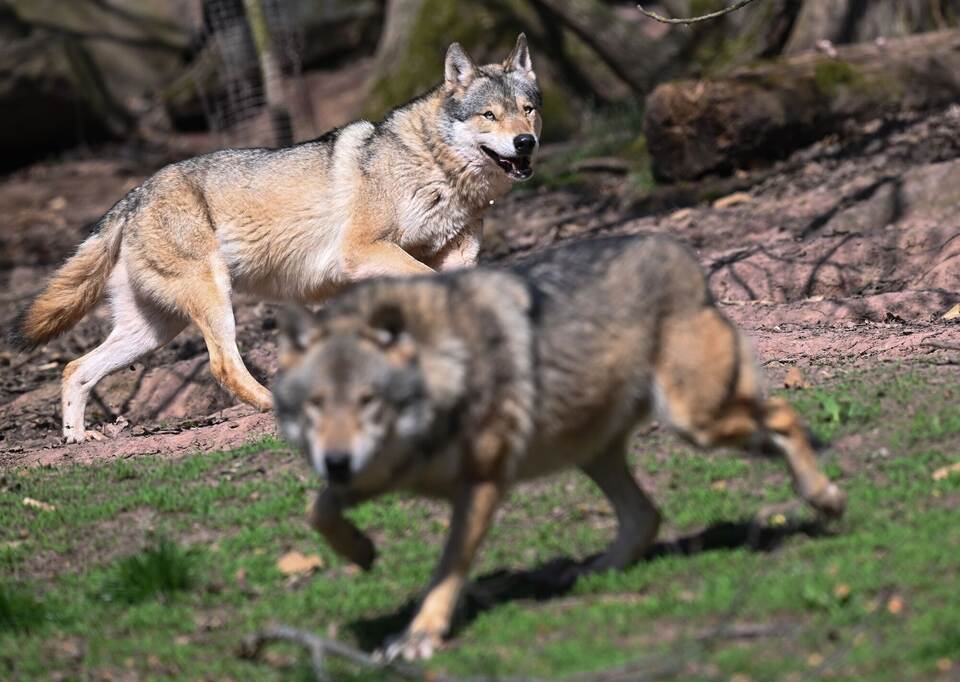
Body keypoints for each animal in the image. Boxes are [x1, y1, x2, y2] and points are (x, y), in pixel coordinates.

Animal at [10, 35, 541, 443]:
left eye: (528, 110)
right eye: (489, 115)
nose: (527, 142)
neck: (436, 169)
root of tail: (133, 195)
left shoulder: (454, 257)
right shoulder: (362, 253)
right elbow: (425, 286)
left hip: (151, 332)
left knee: (74, 368)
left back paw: (76, 439)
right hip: (213, 302)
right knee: (222, 366)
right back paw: (276, 407)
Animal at [272, 234, 847, 661]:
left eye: (368, 401)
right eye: (316, 405)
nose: (337, 461)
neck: (444, 369)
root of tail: (677, 250)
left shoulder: (481, 483)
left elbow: (447, 568)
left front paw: (419, 635)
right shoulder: (378, 473)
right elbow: (317, 510)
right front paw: (362, 551)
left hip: (696, 422)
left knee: (783, 416)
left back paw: (824, 499)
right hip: (594, 450)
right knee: (647, 515)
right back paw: (594, 572)